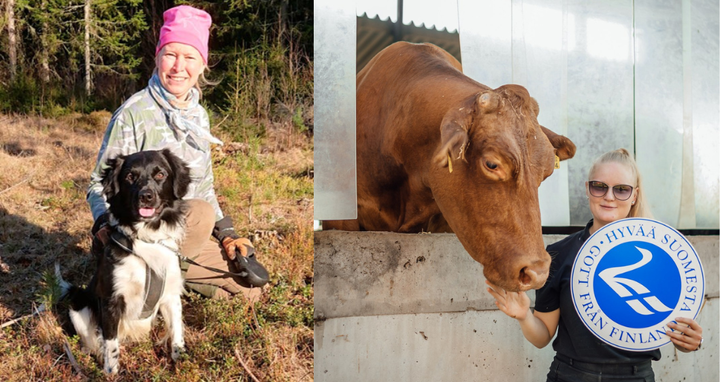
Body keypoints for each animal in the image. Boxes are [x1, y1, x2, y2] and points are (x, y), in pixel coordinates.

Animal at [57, 148, 191, 374]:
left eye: (160, 174)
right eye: (129, 177)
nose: (146, 196)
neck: (147, 239)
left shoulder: (171, 295)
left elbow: (177, 332)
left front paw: (180, 362)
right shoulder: (111, 301)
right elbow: (111, 345)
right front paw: (111, 373)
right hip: (78, 306)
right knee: (95, 342)